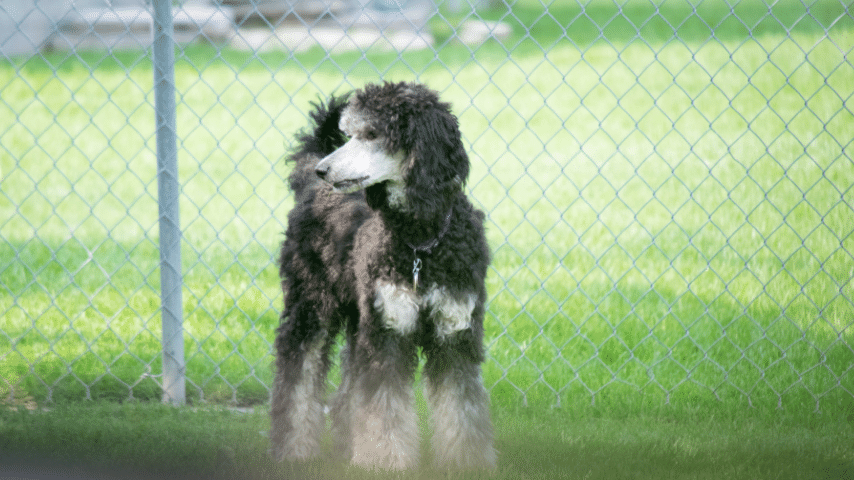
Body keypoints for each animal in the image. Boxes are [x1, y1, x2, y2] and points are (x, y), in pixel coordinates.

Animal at [270, 81, 498, 468]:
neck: (421, 242)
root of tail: (309, 186)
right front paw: (384, 460)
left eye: (373, 134)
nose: (323, 170)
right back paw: (294, 448)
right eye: (350, 133)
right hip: (311, 305)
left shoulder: (453, 333)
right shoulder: (388, 330)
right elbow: (384, 405)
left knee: (347, 385)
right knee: (298, 371)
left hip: (355, 314)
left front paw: (466, 461)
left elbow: (460, 405)